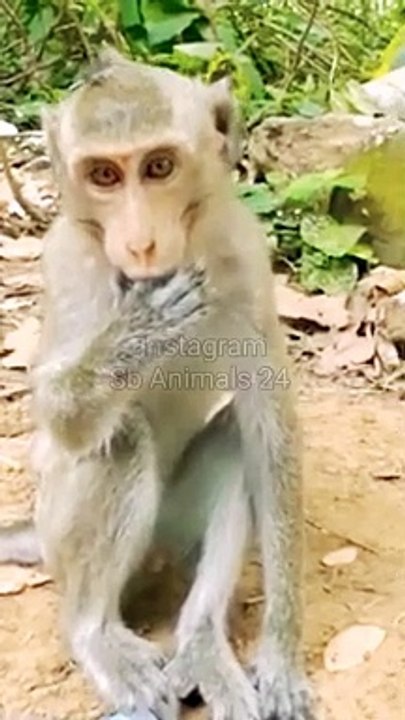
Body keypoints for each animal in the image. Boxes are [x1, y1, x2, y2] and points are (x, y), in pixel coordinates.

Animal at [6, 49, 315, 720]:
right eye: (103, 175)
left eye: (159, 167)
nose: (141, 243)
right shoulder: (68, 262)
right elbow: (61, 416)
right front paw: (141, 325)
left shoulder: (245, 255)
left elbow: (268, 430)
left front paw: (281, 653)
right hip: (60, 534)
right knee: (120, 436)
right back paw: (96, 632)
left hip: (171, 526)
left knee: (232, 443)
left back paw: (199, 640)